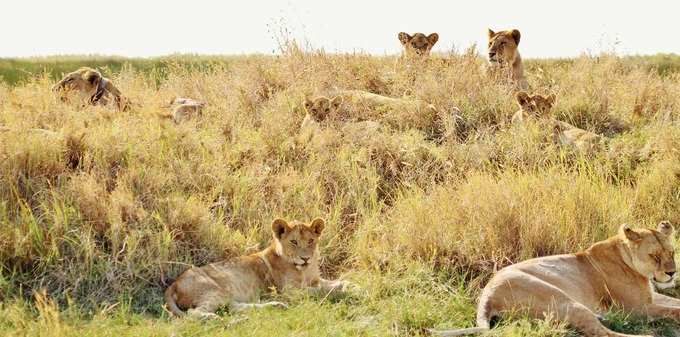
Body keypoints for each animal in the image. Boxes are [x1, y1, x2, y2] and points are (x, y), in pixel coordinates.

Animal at [164, 218, 350, 318]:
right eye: (294, 242)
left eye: (311, 241)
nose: (305, 258)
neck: (304, 270)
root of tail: (174, 284)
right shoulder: (291, 292)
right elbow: (321, 291)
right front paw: (343, 290)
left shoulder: (315, 280)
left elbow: (334, 282)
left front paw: (350, 285)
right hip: (216, 289)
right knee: (193, 313)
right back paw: (213, 318)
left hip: (225, 294)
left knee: (233, 307)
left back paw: (276, 305)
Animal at [432, 220, 676, 336]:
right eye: (654, 256)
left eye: (672, 252)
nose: (672, 273)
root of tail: (486, 294)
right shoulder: (635, 309)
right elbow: (674, 311)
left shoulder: (651, 298)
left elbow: (674, 303)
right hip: (564, 301)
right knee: (602, 333)